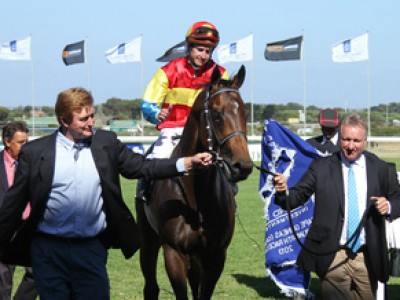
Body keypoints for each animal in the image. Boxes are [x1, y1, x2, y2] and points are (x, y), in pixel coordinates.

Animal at [136, 64, 252, 298]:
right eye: (216, 114)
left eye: (244, 112)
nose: (242, 166)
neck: (196, 197)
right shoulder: (174, 252)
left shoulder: (216, 255)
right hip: (148, 240)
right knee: (151, 286)